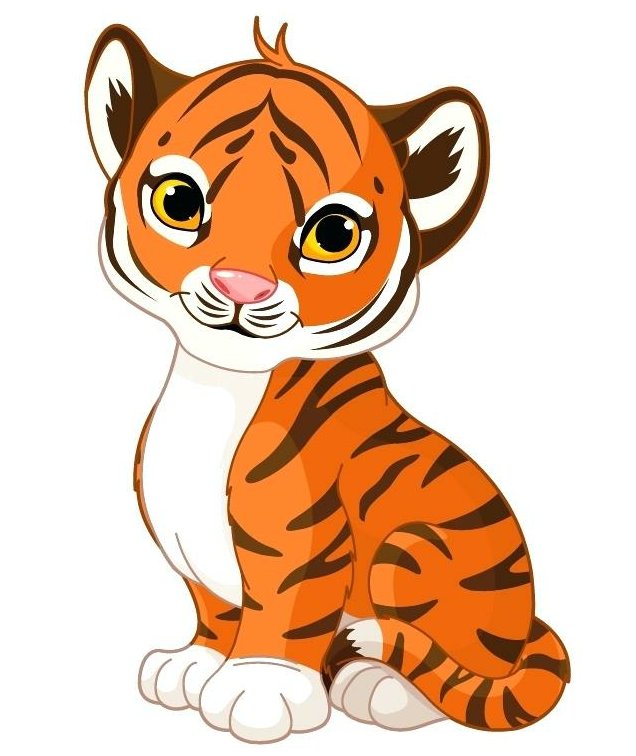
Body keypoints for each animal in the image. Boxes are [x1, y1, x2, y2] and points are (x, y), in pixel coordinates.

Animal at [84, 19, 569, 744]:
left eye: (332, 234)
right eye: (179, 202)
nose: (241, 286)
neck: (219, 385)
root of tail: (527, 622)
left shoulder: (301, 536)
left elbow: (283, 615)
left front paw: (258, 690)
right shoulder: (188, 547)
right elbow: (215, 609)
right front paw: (194, 667)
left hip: (411, 550)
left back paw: (382, 687)